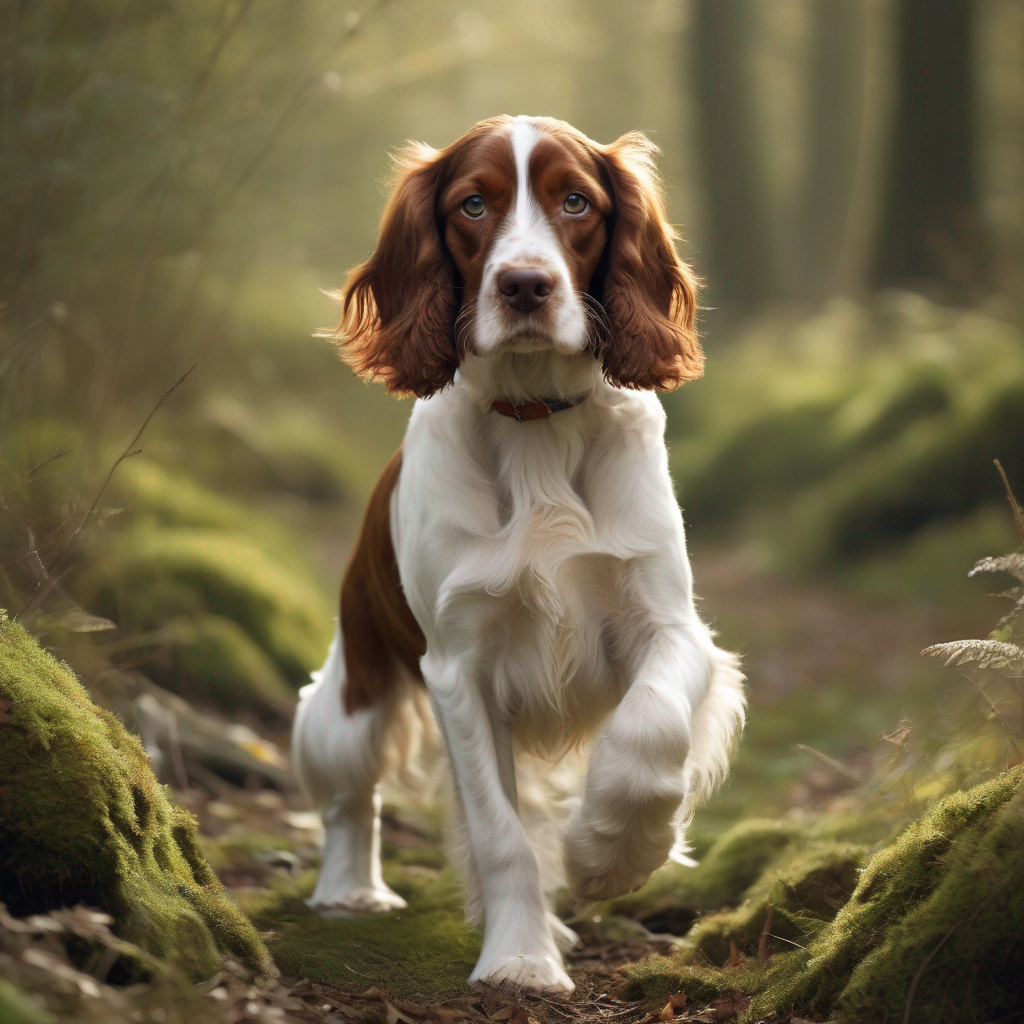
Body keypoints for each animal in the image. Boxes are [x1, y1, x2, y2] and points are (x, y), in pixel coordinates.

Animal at [292, 116, 749, 995]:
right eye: (473, 205)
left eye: (576, 202)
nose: (526, 287)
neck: (535, 417)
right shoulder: (458, 666)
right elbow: (498, 835)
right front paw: (520, 960)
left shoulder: (670, 626)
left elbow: (649, 738)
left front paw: (607, 854)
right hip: (350, 691)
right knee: (350, 795)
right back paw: (351, 890)